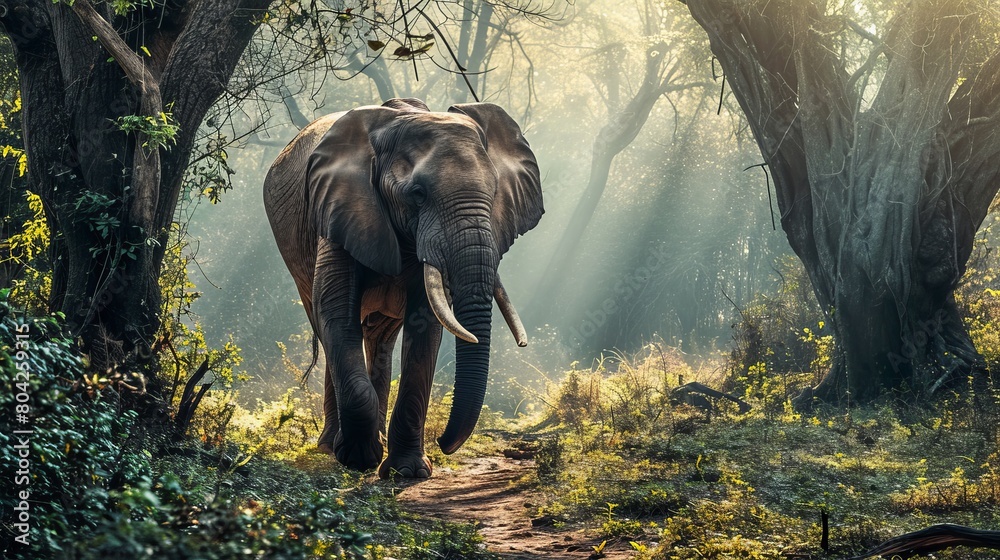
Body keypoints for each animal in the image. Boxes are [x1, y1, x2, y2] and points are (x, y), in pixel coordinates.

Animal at [263, 98, 543, 478]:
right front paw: (359, 457)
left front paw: (406, 472)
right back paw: (330, 446)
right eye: (418, 195)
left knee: (380, 339)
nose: (444, 442)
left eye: (495, 191)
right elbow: (334, 311)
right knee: (326, 324)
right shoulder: (341, 208)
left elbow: (425, 325)